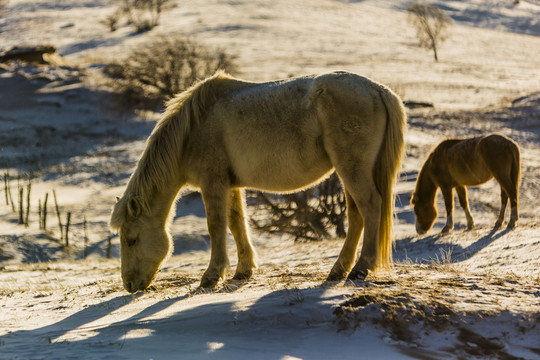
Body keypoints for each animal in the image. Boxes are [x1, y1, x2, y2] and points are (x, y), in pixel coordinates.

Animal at [109, 70, 404, 292]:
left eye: (131, 240)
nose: (129, 285)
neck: (193, 126)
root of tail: (379, 90)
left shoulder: (213, 183)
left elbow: (216, 226)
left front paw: (211, 276)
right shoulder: (230, 185)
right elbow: (237, 223)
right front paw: (243, 270)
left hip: (352, 170)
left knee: (370, 207)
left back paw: (360, 269)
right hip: (349, 172)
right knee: (356, 216)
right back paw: (338, 270)